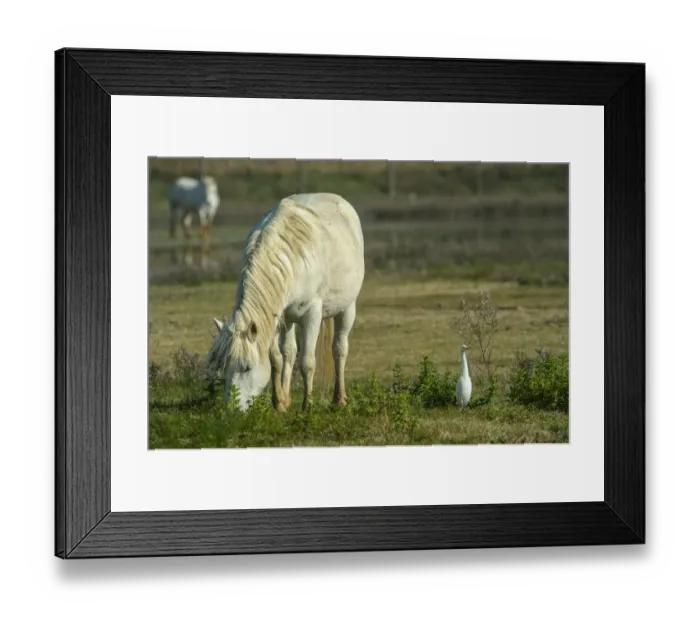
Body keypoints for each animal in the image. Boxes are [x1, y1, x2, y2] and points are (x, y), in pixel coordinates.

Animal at [205, 192, 365, 412]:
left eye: (247, 367)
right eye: (224, 366)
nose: (232, 409)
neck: (291, 261)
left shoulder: (312, 315)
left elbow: (307, 361)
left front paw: (307, 406)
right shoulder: (274, 317)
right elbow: (277, 359)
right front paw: (279, 402)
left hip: (347, 308)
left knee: (339, 349)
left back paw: (339, 399)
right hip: (289, 319)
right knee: (289, 352)